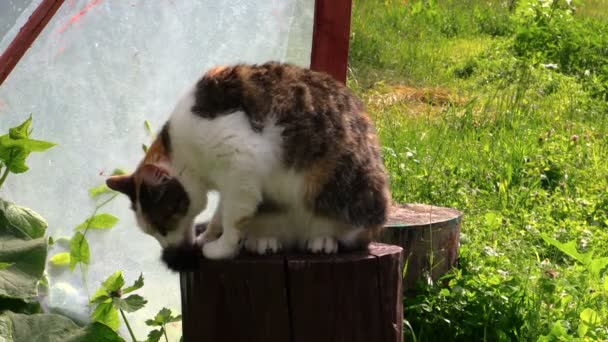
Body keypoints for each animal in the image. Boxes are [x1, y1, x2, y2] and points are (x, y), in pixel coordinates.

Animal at [105, 61, 390, 262]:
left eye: (163, 227)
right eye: (153, 233)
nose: (170, 252)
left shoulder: (241, 164)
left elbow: (233, 218)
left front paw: (220, 249)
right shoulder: (230, 183)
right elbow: (220, 215)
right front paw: (207, 236)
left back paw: (323, 240)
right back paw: (264, 240)